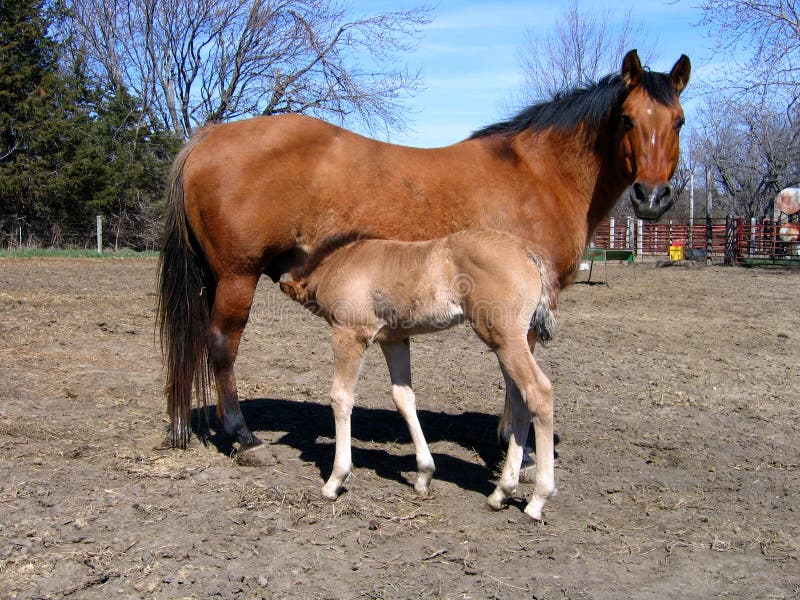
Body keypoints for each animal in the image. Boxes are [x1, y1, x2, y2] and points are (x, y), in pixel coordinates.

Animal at [284, 227, 560, 516]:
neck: (341, 262)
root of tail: (525, 249)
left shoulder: (350, 334)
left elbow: (341, 397)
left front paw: (335, 480)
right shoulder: (394, 340)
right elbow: (403, 397)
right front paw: (424, 475)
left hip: (506, 340)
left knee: (539, 392)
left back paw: (538, 498)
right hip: (506, 343)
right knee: (519, 401)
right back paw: (501, 491)